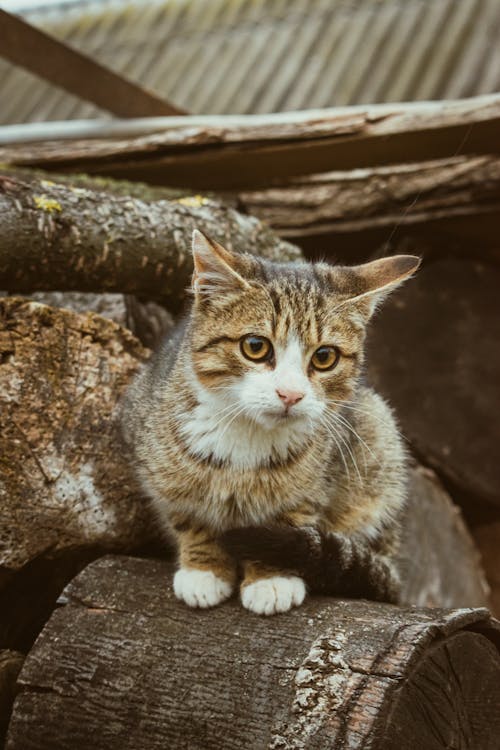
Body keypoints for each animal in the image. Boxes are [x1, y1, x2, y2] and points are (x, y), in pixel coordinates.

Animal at [121, 231, 418, 616]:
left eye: (325, 357)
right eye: (255, 346)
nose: (290, 394)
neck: (249, 434)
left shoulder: (317, 480)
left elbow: (292, 516)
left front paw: (271, 578)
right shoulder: (152, 454)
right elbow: (188, 514)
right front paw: (204, 569)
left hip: (380, 439)